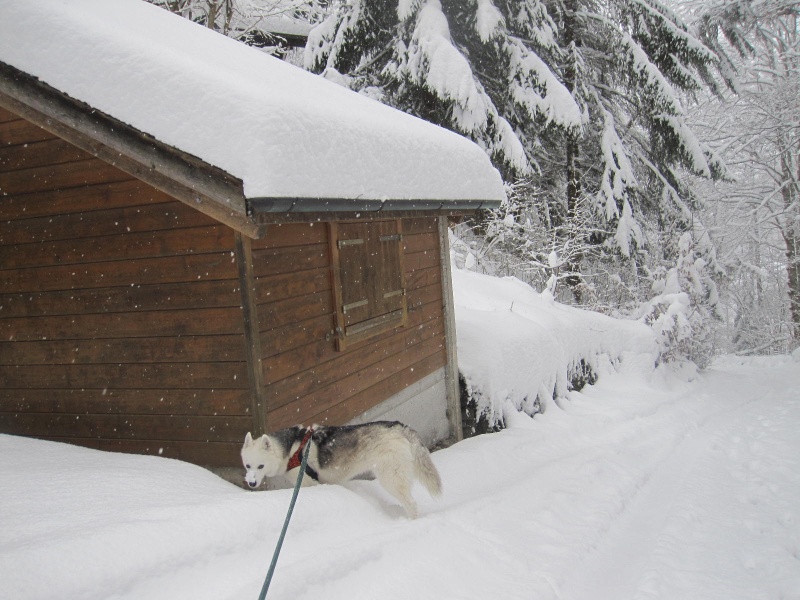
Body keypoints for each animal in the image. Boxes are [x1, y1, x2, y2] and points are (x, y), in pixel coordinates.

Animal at [244, 422, 444, 516]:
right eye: (247, 466)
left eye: (260, 466)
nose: (251, 483)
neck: (292, 449)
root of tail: (399, 426)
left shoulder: (309, 483)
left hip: (390, 478)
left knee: (412, 504)